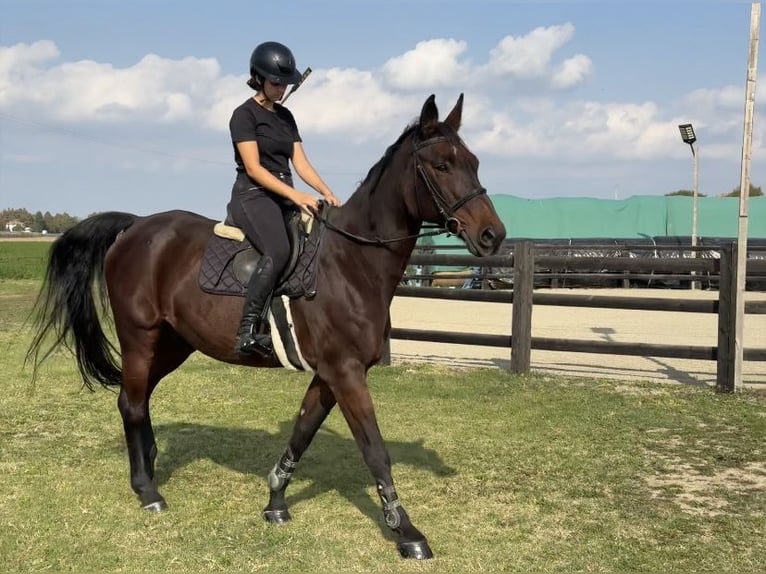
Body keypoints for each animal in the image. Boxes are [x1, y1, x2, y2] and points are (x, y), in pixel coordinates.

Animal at [26, 94, 506, 560]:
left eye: (475, 162)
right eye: (441, 165)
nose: (493, 236)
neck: (351, 263)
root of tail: (136, 226)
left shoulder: (329, 375)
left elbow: (302, 432)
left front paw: (276, 501)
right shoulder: (346, 373)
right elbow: (375, 450)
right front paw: (405, 531)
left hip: (173, 345)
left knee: (136, 399)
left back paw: (148, 469)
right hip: (140, 338)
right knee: (131, 403)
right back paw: (148, 491)